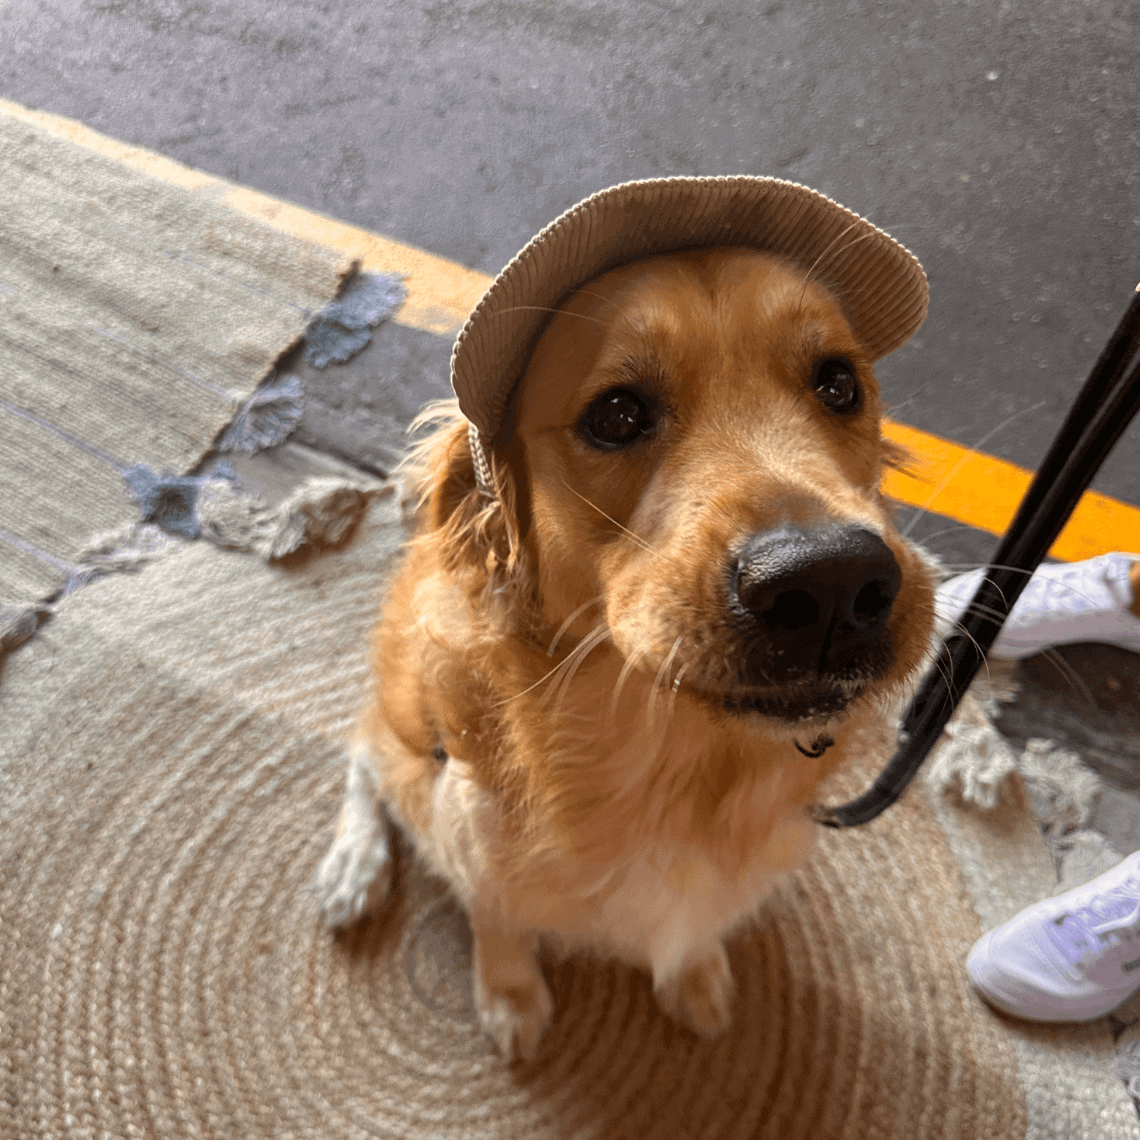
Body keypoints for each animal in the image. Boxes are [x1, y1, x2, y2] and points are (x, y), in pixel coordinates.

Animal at [314, 245, 934, 1062]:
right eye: (616, 415)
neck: (674, 768)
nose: (832, 582)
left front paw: (695, 976)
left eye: (839, 383)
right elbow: (495, 916)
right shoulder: (470, 830)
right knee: (365, 748)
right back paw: (353, 868)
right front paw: (510, 996)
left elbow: (695, 931)